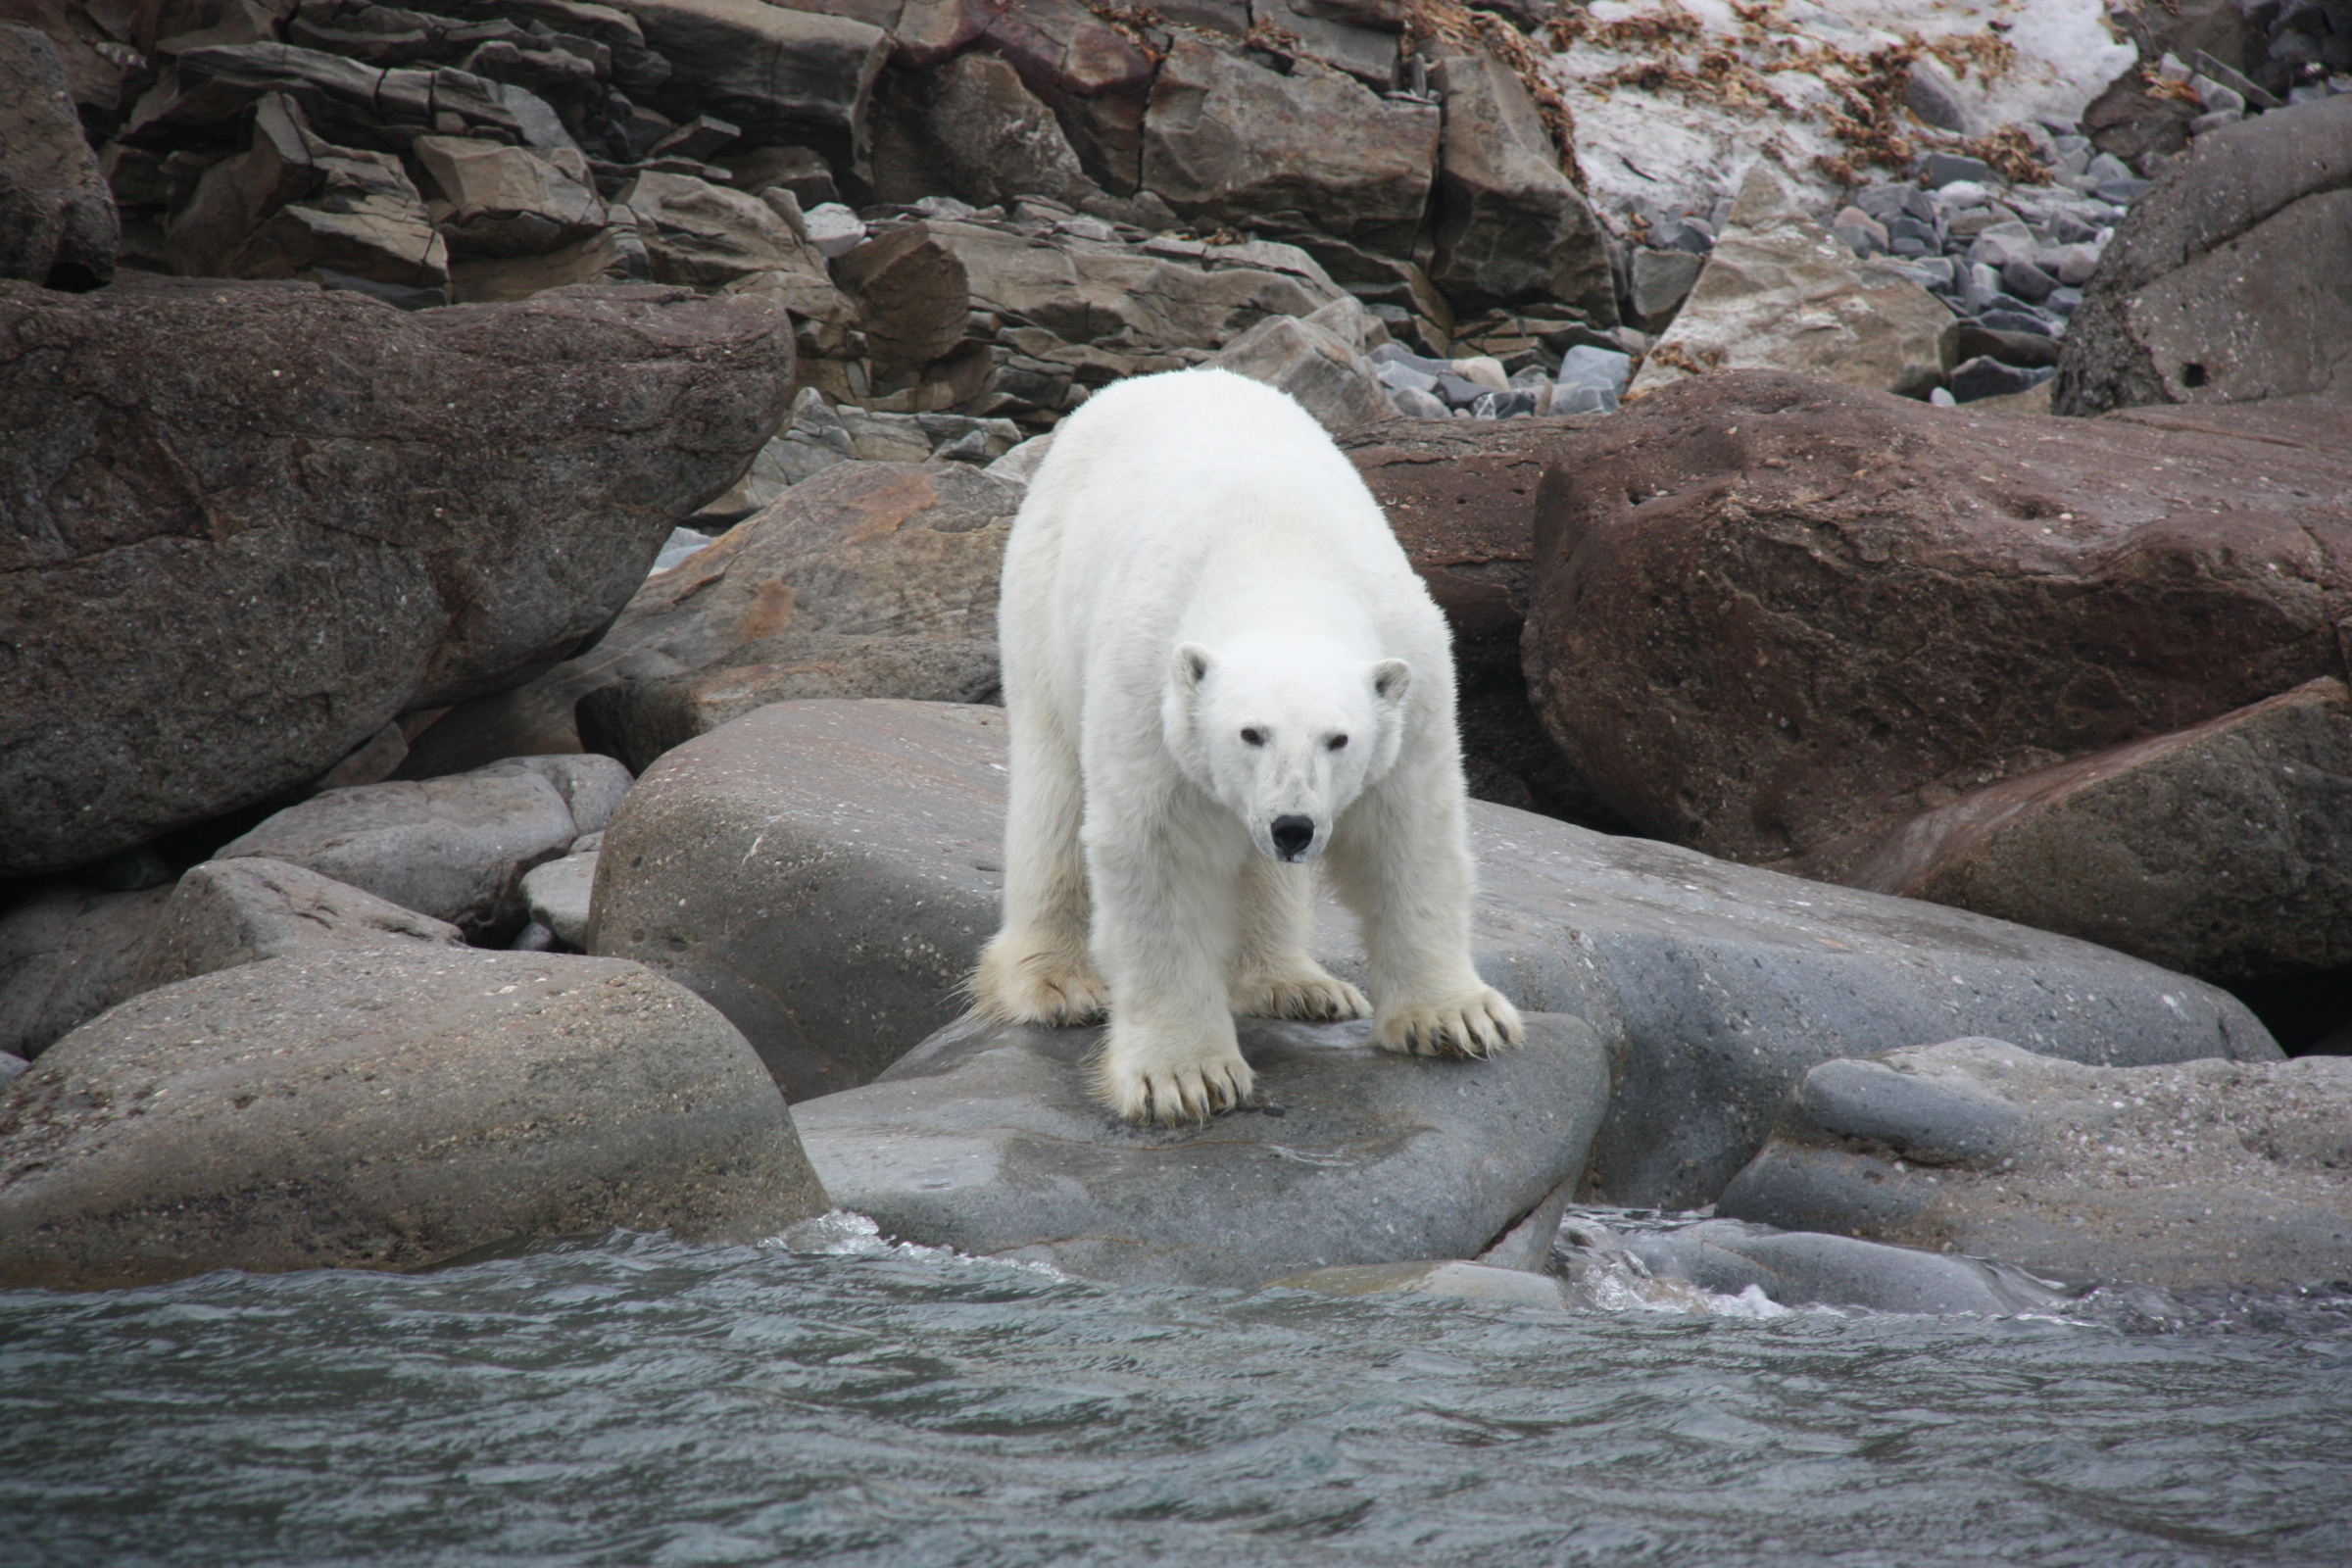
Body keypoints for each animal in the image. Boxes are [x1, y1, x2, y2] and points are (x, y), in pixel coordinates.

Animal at [973, 362, 1524, 1123]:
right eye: (1249, 732)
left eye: (1339, 738)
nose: (1293, 826)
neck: (1279, 563)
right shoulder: (1147, 690)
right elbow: (1161, 857)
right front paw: (1185, 1076)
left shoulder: (1416, 690)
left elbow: (1410, 839)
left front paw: (1458, 1017)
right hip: (1042, 600)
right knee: (1053, 789)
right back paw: (1057, 984)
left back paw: (1296, 984)